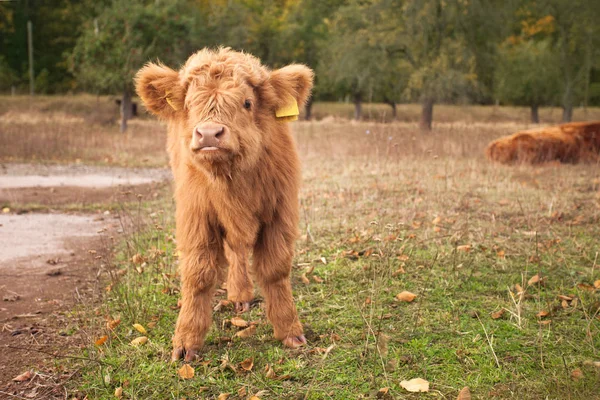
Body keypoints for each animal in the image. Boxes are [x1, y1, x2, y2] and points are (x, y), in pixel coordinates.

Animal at [135, 48, 314, 360]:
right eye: (189, 104)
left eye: (247, 102)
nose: (208, 134)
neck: (231, 183)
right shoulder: (196, 216)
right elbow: (198, 275)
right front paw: (186, 342)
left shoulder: (280, 212)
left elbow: (276, 270)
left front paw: (290, 331)